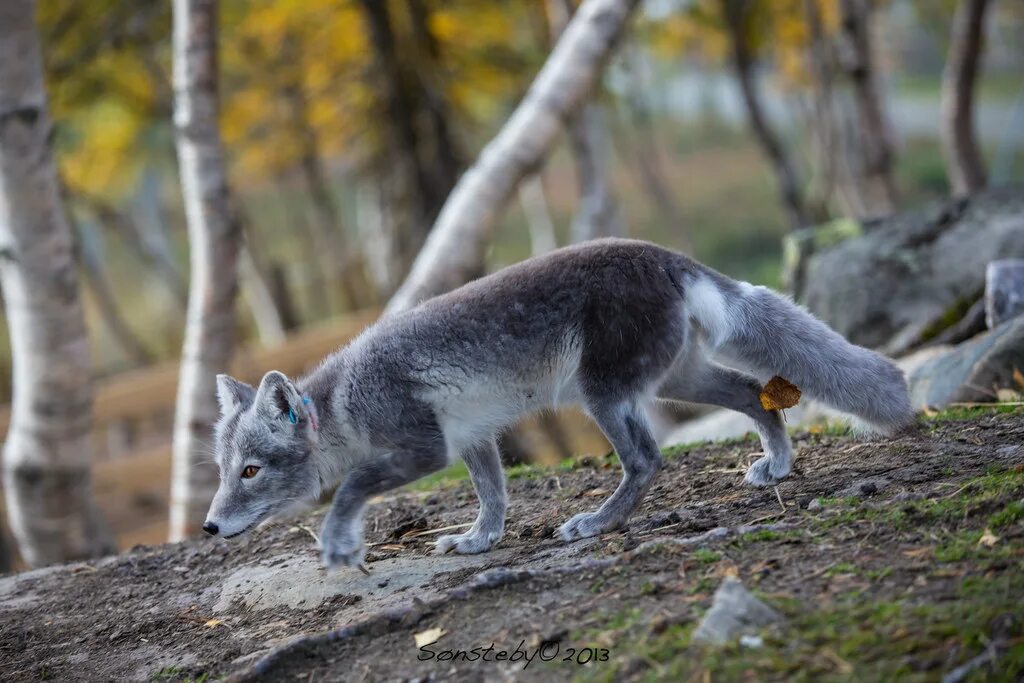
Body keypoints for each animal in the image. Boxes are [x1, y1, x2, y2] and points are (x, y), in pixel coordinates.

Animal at [201, 237, 913, 569]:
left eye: (251, 471)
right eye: (223, 471)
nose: (206, 527)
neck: (345, 403)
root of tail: (663, 255)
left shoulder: (426, 449)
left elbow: (351, 488)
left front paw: (340, 543)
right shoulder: (472, 439)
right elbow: (493, 496)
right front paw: (479, 542)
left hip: (603, 396)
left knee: (647, 459)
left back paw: (598, 523)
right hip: (672, 380)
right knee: (752, 396)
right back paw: (779, 466)